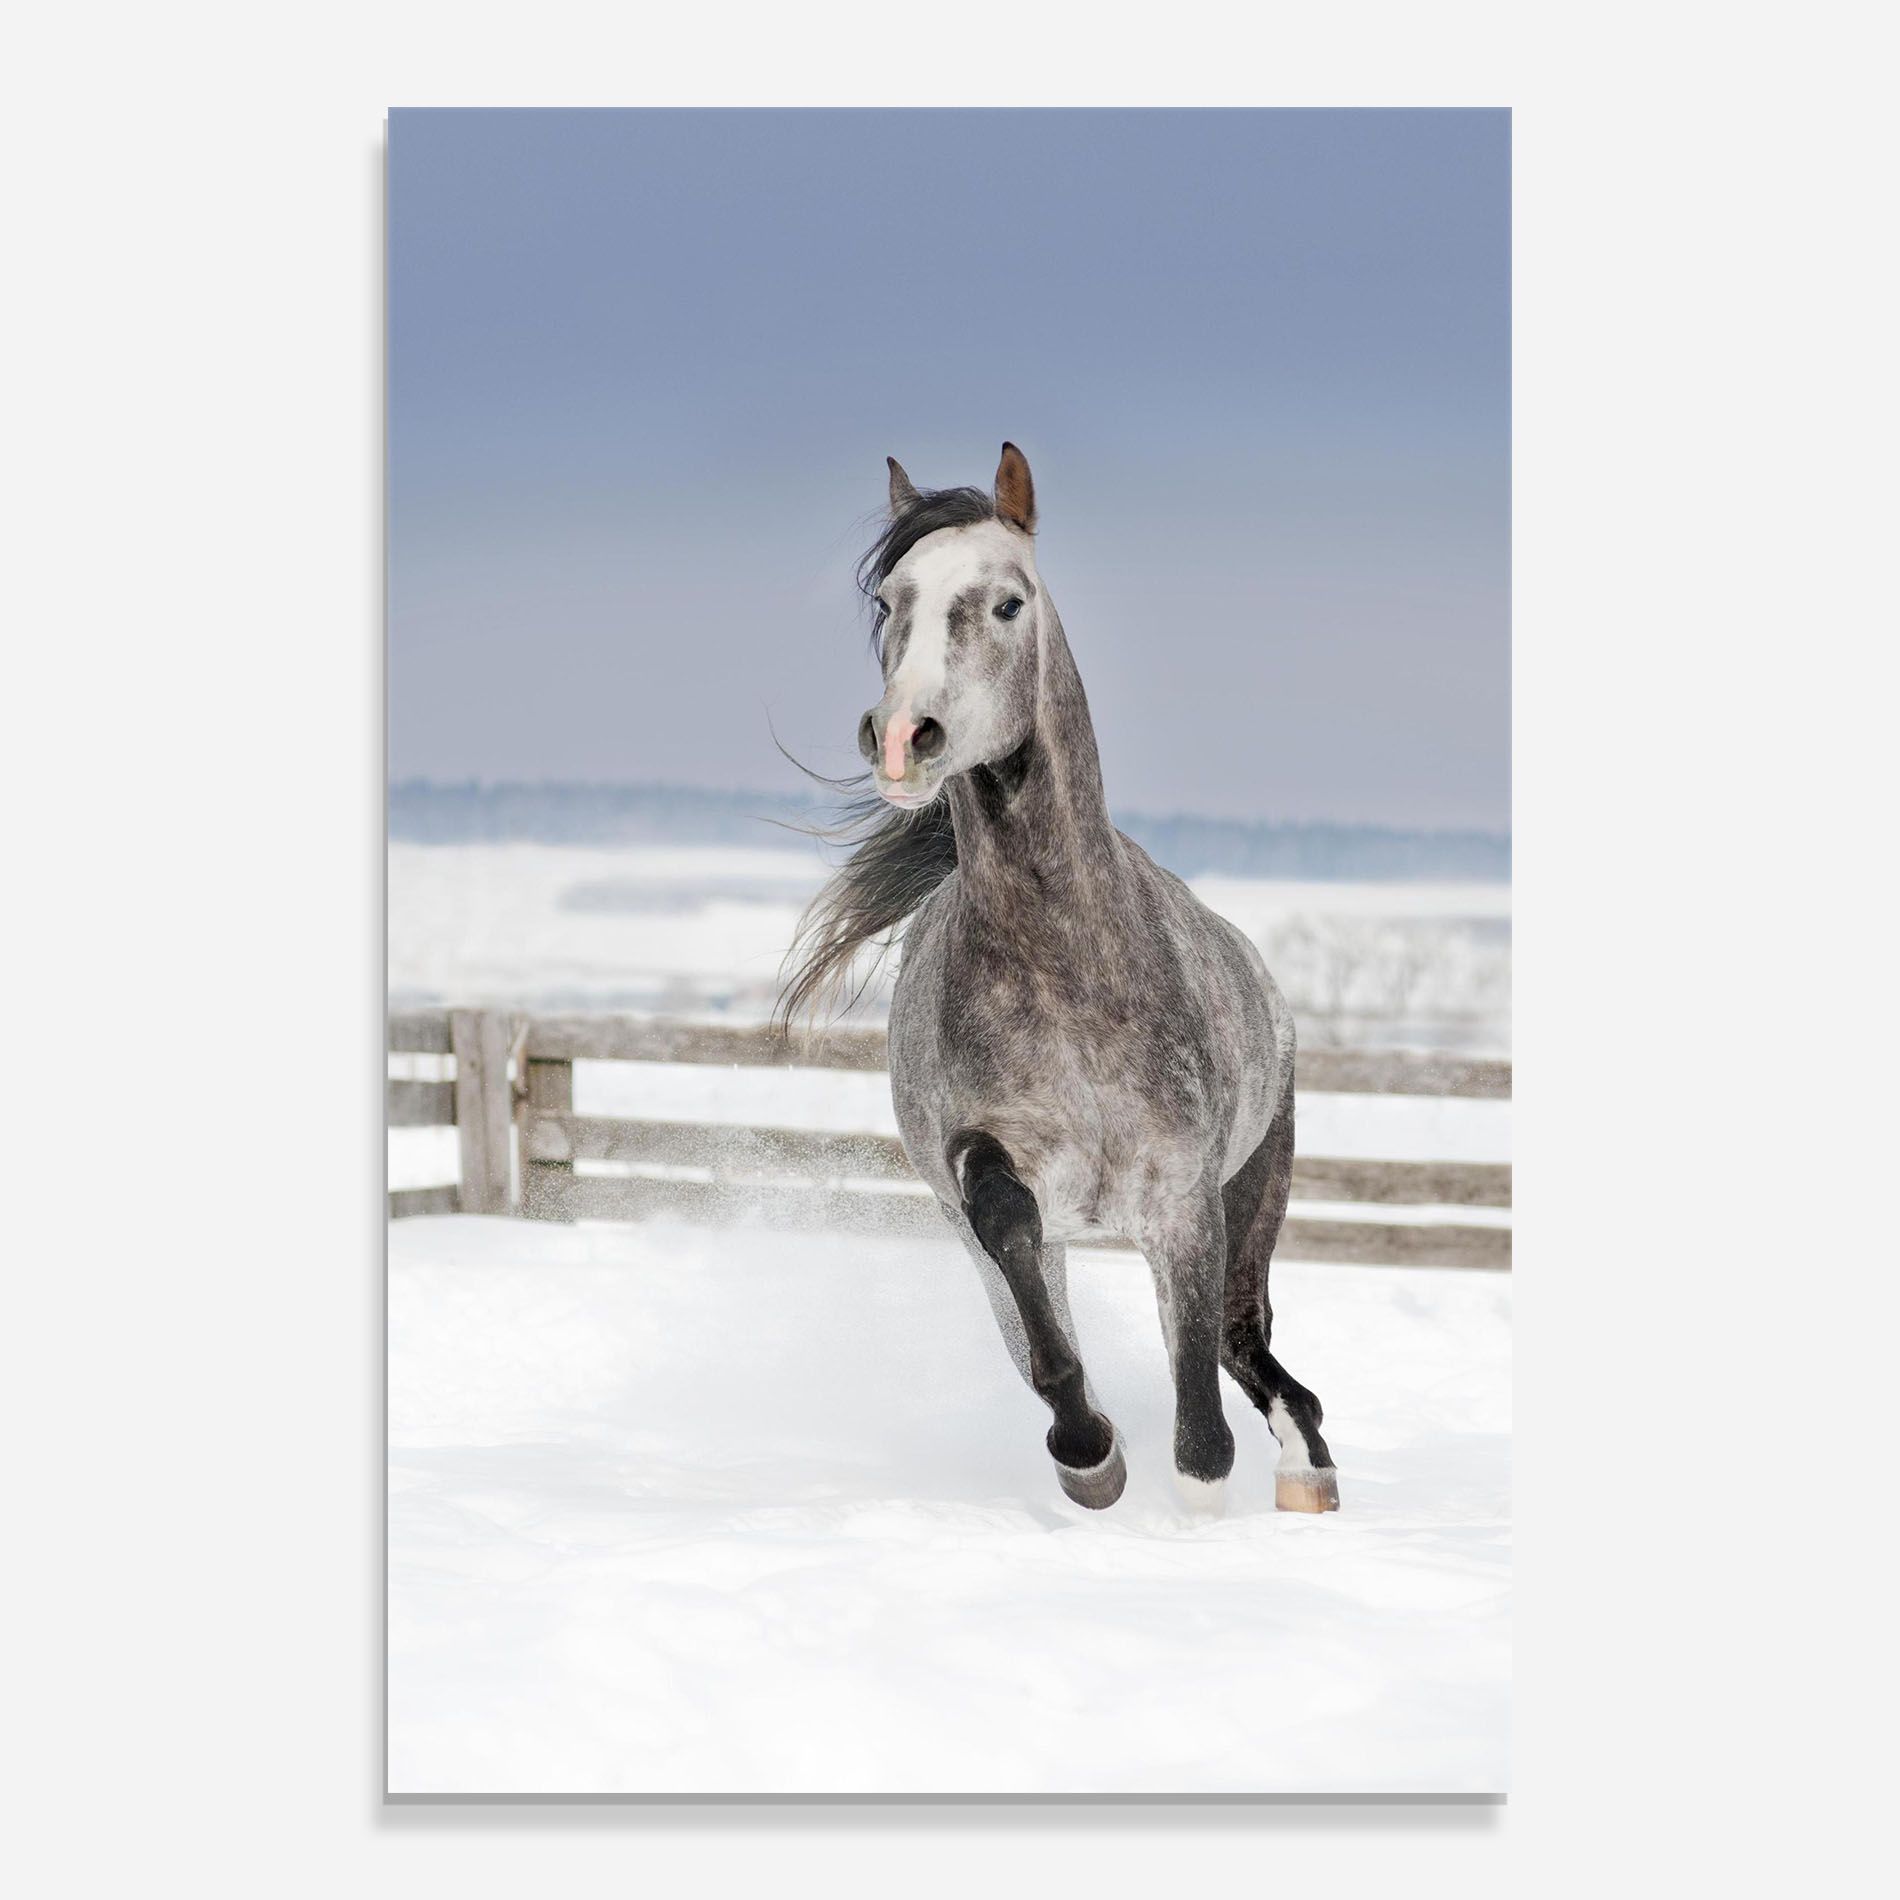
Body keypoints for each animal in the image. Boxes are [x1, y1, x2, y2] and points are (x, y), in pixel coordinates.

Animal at [780, 445, 1339, 1515]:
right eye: (889, 601)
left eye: (1008, 603)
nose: (902, 737)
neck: (1066, 970)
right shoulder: (991, 1184)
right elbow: (1023, 1271)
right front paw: (1089, 1453)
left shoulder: (1184, 1204)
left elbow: (1201, 1432)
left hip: (1254, 1195)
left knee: (1245, 1343)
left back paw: (1307, 1472)